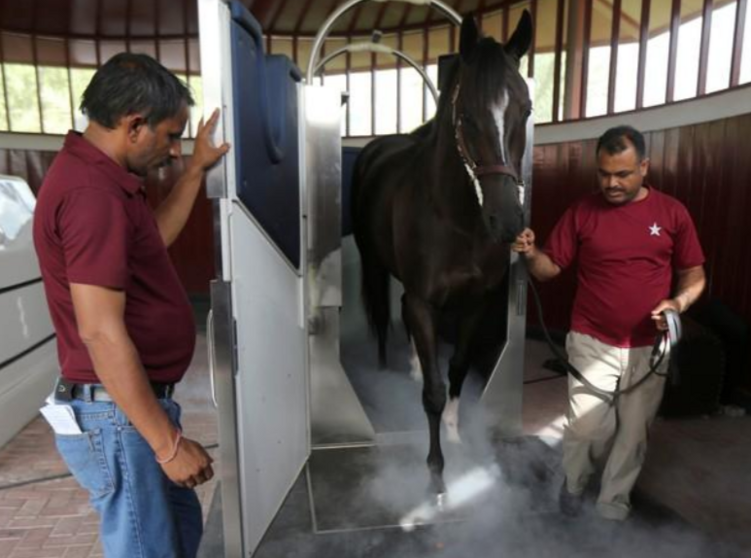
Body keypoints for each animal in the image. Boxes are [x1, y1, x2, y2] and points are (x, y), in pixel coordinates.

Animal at [352, 13, 536, 496]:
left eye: (527, 109)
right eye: (466, 114)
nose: (507, 221)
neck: (456, 218)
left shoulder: (475, 303)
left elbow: (456, 369)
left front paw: (454, 435)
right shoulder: (423, 300)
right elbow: (433, 393)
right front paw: (436, 474)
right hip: (373, 263)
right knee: (383, 315)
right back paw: (385, 368)